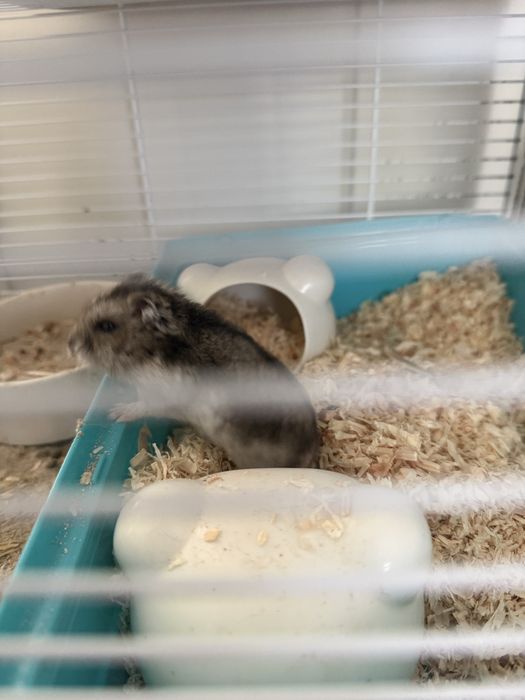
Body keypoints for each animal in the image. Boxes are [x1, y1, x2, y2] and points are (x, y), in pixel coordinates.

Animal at [68, 274, 320, 470]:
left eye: (107, 326)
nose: (71, 345)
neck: (149, 352)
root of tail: (311, 454)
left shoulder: (158, 395)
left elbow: (142, 405)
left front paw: (116, 413)